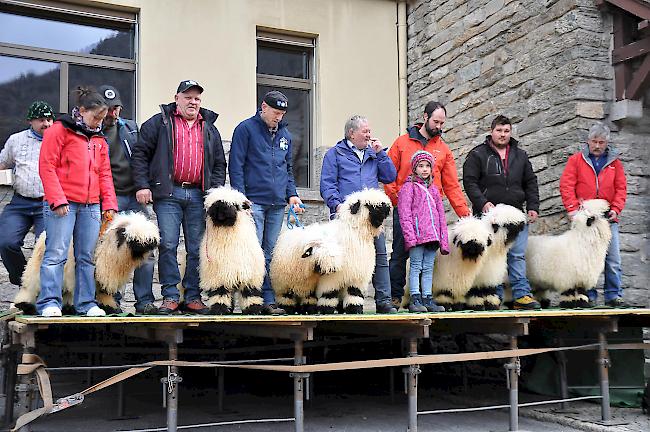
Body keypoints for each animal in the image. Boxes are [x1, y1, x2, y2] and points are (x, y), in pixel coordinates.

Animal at [14, 212, 159, 314]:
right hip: (38, 265)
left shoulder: (103, 275)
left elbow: (103, 293)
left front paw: (111, 308)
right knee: (31, 285)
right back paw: (25, 304)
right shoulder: (78, 271)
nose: (152, 248)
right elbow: (78, 289)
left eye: (150, 241)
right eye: (136, 240)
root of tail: (43, 233)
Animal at [200, 186, 266, 314]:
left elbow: (250, 293)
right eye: (213, 203)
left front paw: (253, 309)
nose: (220, 207)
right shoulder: (218, 275)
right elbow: (219, 293)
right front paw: (219, 309)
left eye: (235, 205)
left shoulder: (250, 275)